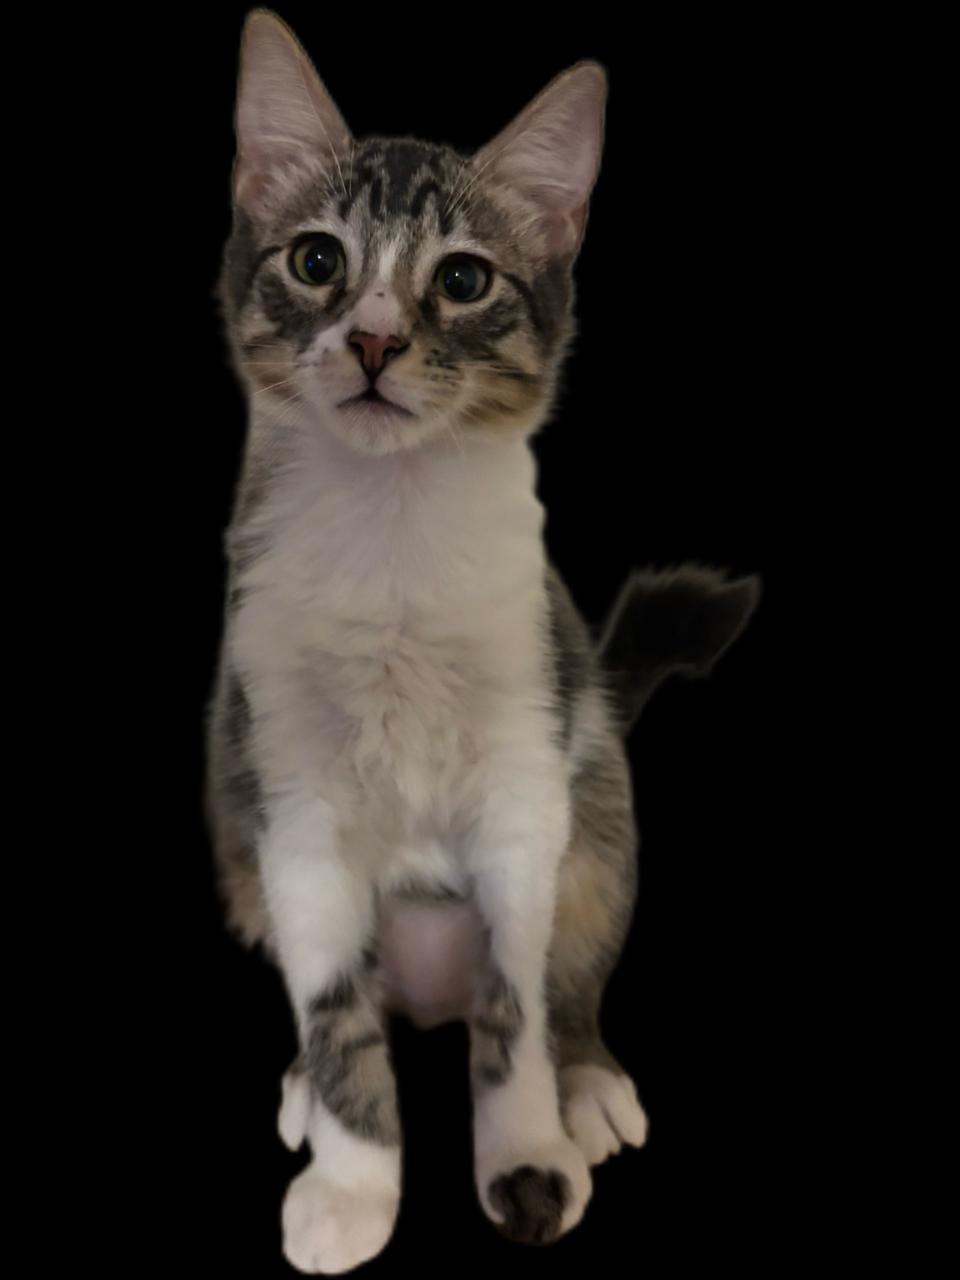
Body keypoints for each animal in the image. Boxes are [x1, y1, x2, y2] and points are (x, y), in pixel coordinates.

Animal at [206, 10, 760, 1274]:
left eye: (462, 279)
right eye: (319, 262)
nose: (371, 341)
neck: (389, 531)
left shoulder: (523, 790)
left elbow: (515, 1008)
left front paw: (528, 1157)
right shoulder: (291, 809)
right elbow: (337, 1013)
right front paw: (353, 1185)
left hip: (599, 805)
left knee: (570, 981)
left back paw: (586, 1079)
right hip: (236, 834)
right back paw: (304, 1085)